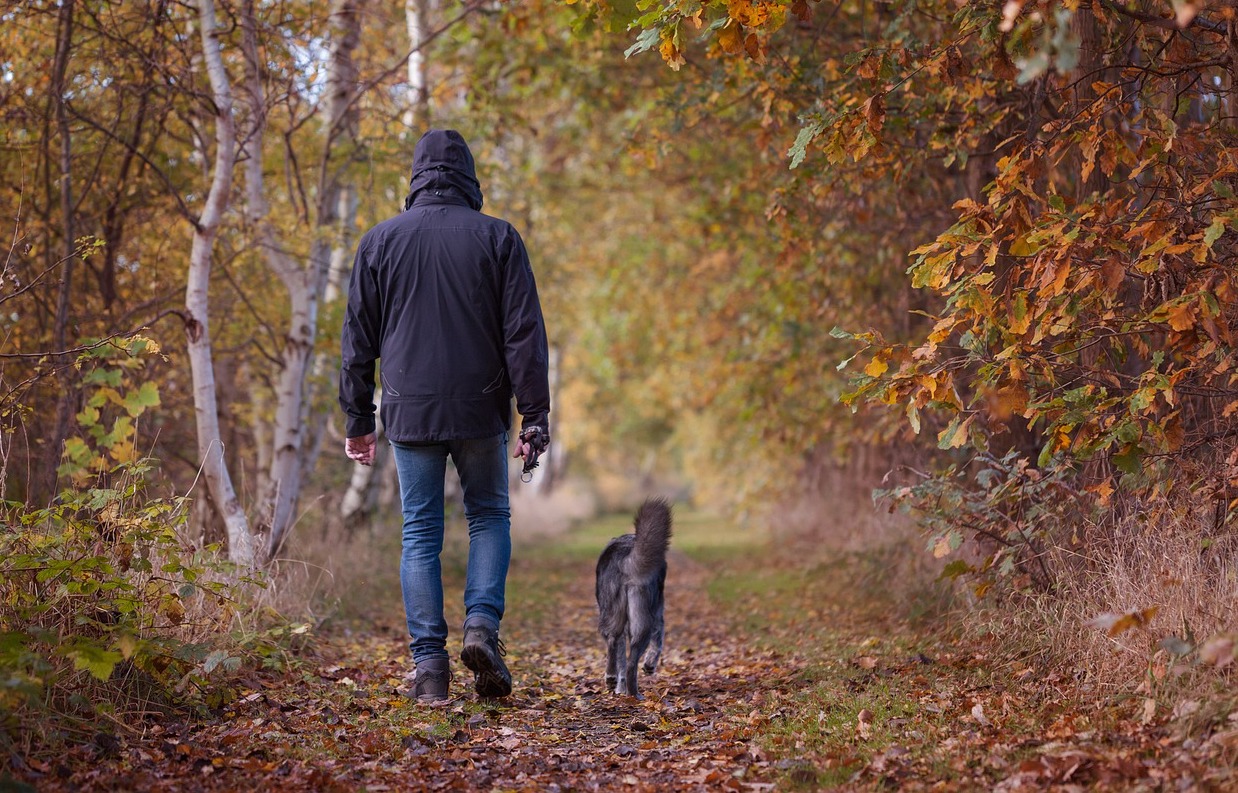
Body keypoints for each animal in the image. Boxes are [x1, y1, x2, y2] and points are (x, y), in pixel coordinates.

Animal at [594, 497, 673, 697]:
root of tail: (625, 556)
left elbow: (621, 658)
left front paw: (618, 688)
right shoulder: (658, 614)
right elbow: (658, 642)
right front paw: (650, 665)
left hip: (614, 614)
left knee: (614, 644)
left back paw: (614, 680)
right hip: (643, 619)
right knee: (631, 662)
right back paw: (635, 694)